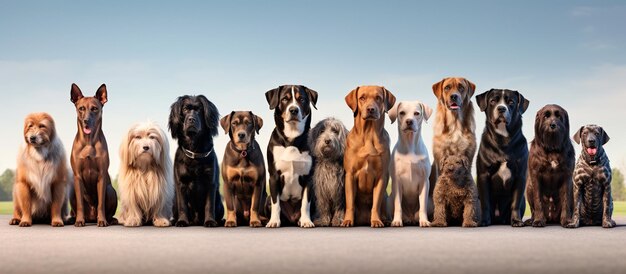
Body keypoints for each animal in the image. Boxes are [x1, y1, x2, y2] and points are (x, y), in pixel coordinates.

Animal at [69, 83, 117, 227]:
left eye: (95, 109)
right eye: (81, 108)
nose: (86, 120)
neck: (88, 141)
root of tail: (90, 217)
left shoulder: (102, 175)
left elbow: (101, 203)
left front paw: (102, 220)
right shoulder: (77, 176)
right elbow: (80, 204)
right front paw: (79, 221)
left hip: (111, 190)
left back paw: (110, 219)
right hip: (72, 190)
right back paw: (74, 218)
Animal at [167, 94, 223, 227]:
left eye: (199, 110)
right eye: (185, 109)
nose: (191, 119)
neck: (194, 152)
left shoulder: (210, 183)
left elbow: (209, 205)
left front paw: (210, 221)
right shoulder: (181, 183)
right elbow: (183, 205)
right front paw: (182, 221)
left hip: (219, 201)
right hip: (174, 202)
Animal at [264, 84, 316, 228]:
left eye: (301, 99)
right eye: (284, 99)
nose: (293, 110)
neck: (292, 139)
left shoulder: (308, 178)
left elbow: (305, 204)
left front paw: (306, 221)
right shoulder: (274, 176)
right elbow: (276, 204)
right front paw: (273, 221)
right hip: (267, 199)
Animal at [342, 85, 394, 227]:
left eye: (378, 98)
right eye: (362, 98)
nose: (371, 109)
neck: (369, 134)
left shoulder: (382, 176)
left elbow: (376, 204)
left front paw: (376, 221)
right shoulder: (350, 174)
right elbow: (349, 203)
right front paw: (347, 220)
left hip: (386, 197)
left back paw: (385, 220)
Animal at [476, 88, 528, 227]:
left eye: (511, 102)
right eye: (493, 101)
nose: (501, 108)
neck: (503, 139)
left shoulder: (520, 176)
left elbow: (515, 202)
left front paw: (516, 221)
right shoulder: (483, 175)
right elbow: (485, 203)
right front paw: (484, 221)